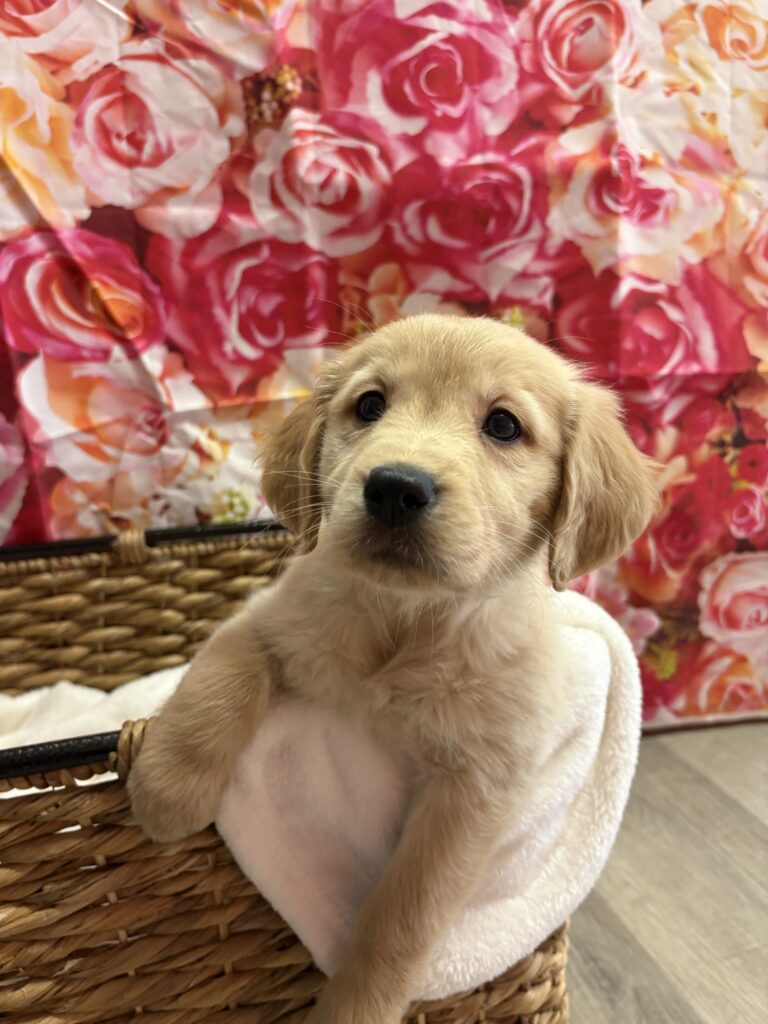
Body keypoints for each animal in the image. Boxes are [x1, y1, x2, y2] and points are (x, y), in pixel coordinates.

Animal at [129, 313, 658, 1024]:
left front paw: (355, 1007)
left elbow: (402, 917)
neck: (407, 625)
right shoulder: (268, 619)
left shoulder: (473, 789)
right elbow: (218, 682)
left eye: (503, 425)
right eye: (369, 405)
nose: (395, 488)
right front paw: (167, 791)